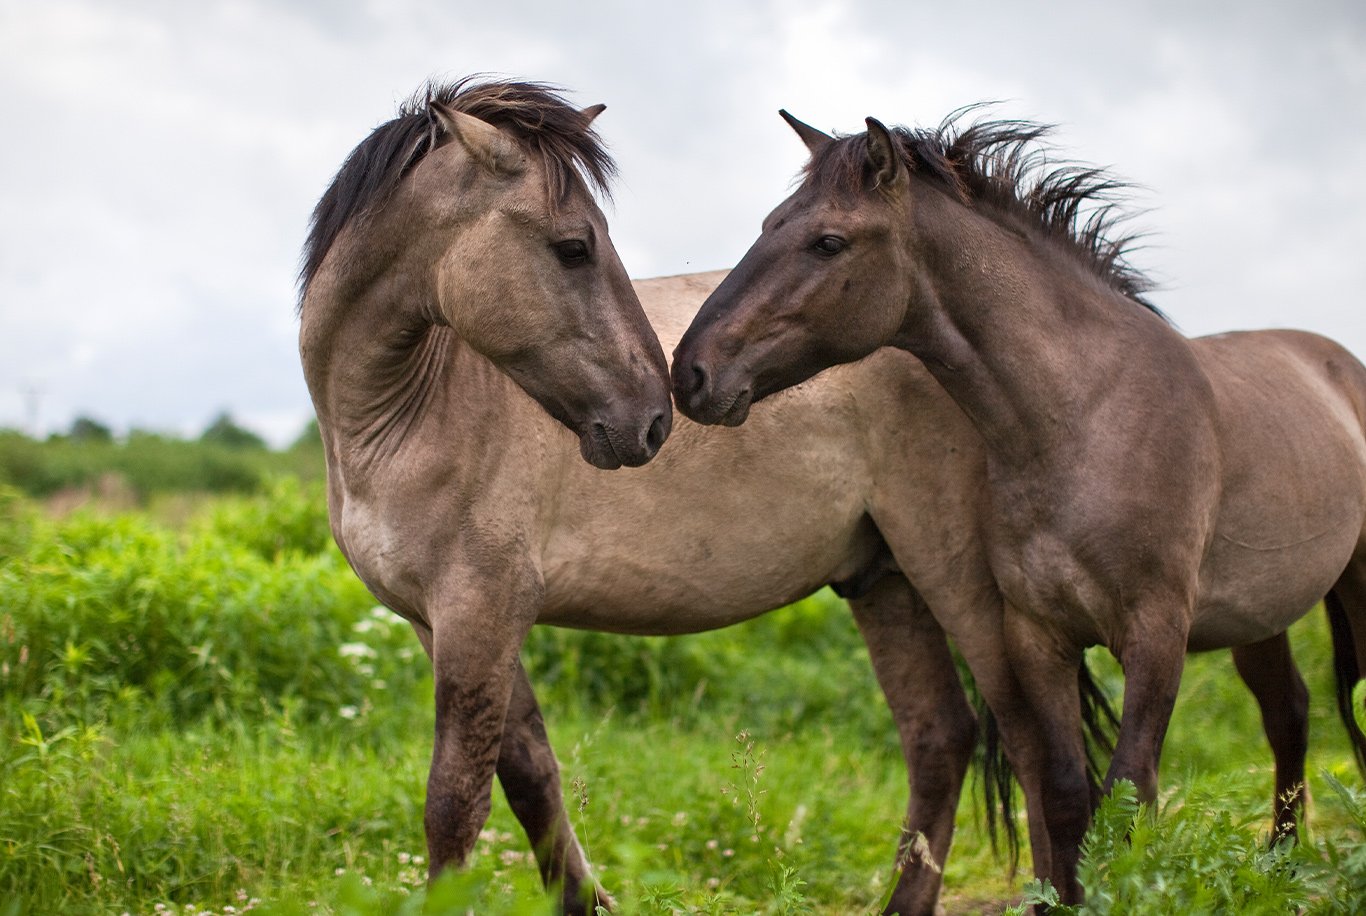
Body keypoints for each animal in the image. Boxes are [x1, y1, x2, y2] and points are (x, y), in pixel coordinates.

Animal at [669, 107, 1366, 900]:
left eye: (828, 241)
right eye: (769, 223)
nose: (689, 373)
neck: (1083, 418)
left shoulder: (1155, 634)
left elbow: (1128, 793)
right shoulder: (1038, 636)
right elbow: (1066, 794)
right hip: (1258, 618)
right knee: (1289, 713)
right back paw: (1280, 864)